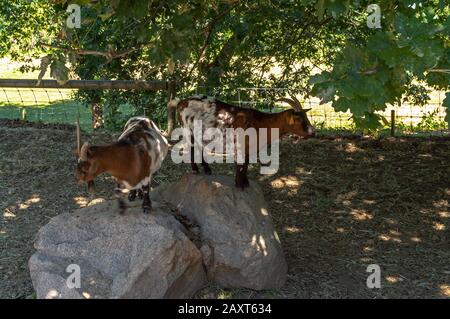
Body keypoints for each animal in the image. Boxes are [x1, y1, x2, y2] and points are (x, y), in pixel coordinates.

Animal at [174, 95, 314, 190]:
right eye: (299, 119)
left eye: (306, 117)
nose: (313, 132)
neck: (260, 123)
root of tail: (181, 103)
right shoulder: (239, 146)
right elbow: (240, 165)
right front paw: (239, 185)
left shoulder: (250, 149)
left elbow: (246, 165)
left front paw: (245, 183)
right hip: (187, 129)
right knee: (191, 148)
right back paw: (195, 170)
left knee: (199, 146)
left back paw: (207, 170)